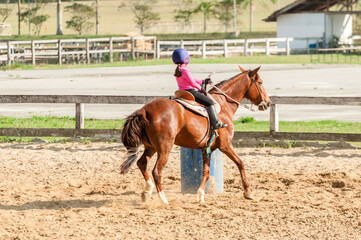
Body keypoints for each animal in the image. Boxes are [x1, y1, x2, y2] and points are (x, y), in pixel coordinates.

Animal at [121, 65, 270, 204]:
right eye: (260, 82)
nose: (268, 102)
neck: (223, 105)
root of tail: (145, 110)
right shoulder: (225, 145)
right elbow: (240, 163)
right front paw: (248, 192)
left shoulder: (207, 148)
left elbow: (206, 172)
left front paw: (201, 195)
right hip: (164, 148)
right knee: (156, 171)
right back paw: (163, 199)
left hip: (151, 147)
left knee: (142, 163)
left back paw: (147, 191)